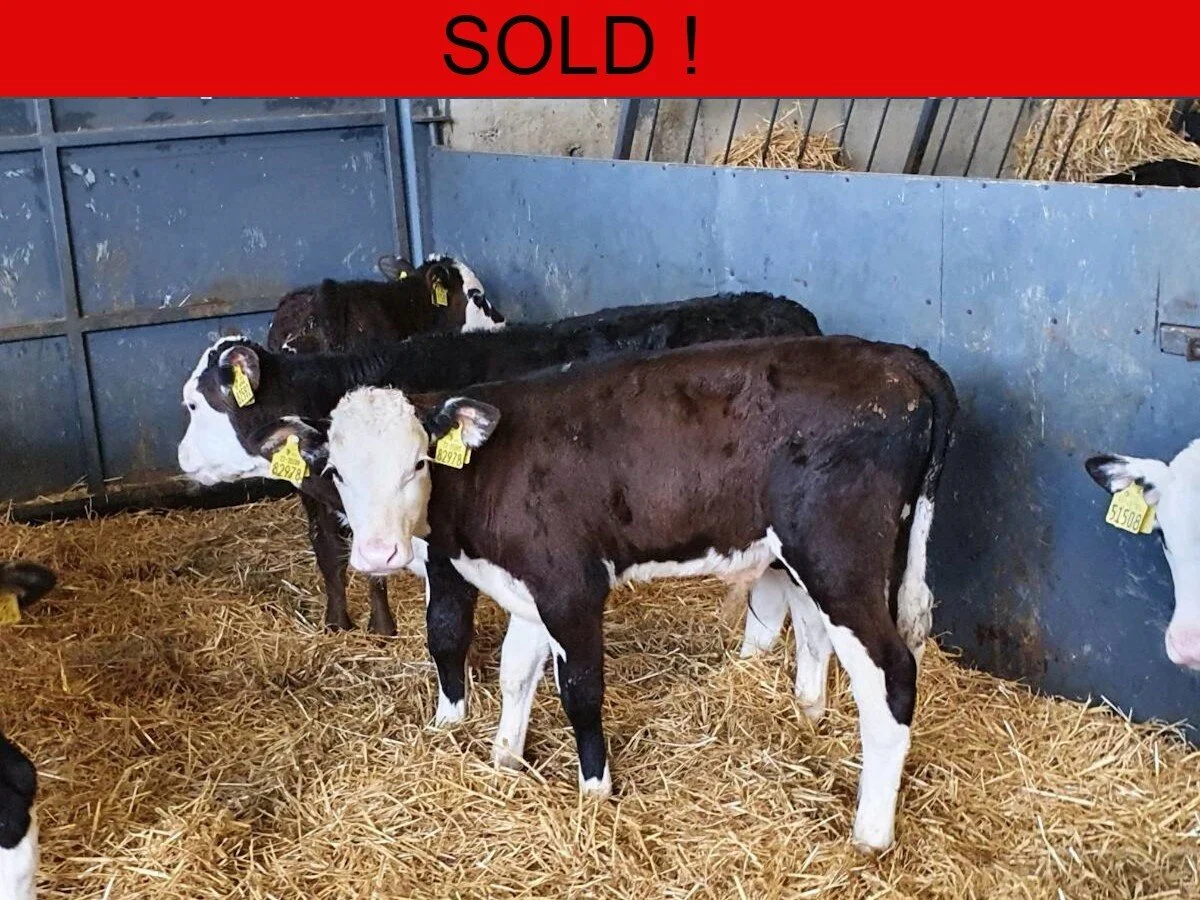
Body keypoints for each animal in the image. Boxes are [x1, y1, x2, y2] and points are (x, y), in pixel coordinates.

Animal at [250, 335, 957, 852]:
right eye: (338, 472)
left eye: (418, 463)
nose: (378, 555)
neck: (488, 470)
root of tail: (898, 357)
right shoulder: (528, 584)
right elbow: (515, 672)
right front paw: (504, 758)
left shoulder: (571, 586)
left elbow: (580, 692)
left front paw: (595, 790)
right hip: (804, 556)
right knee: (820, 635)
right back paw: (808, 716)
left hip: (840, 555)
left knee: (892, 674)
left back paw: (870, 834)